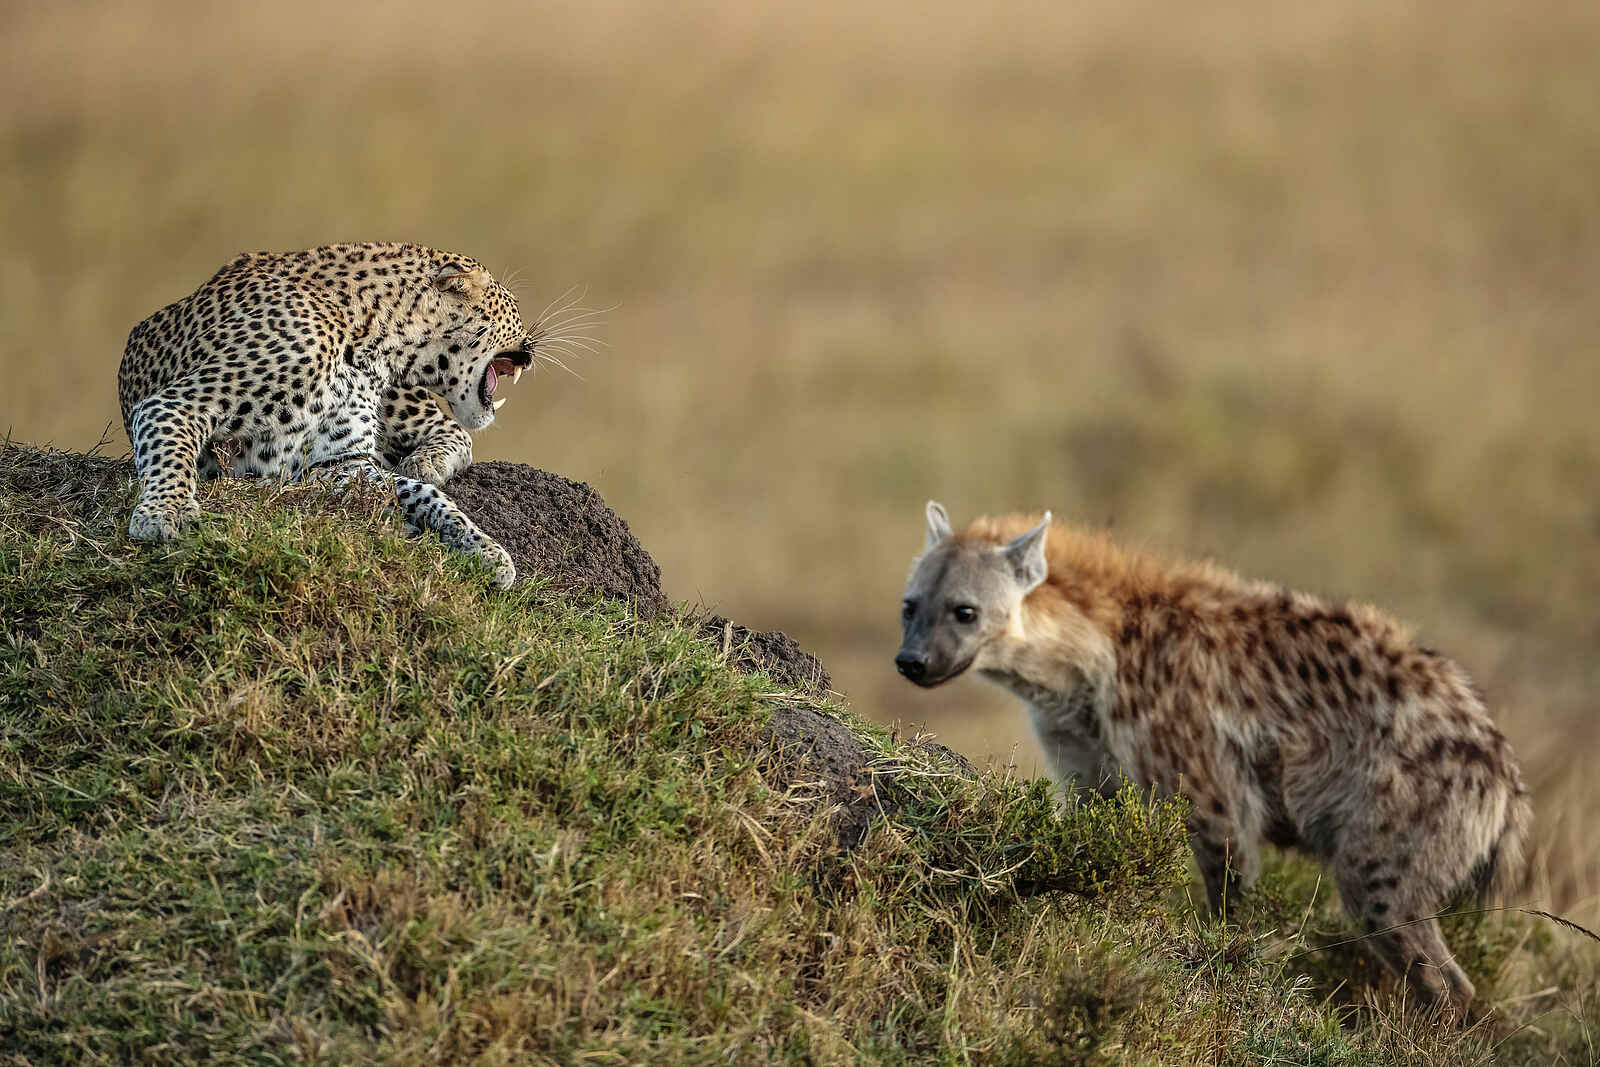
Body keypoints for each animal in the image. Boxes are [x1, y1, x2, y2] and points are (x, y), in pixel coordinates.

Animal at [117, 242, 553, 587]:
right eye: (513, 306)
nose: (532, 347)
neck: (373, 338)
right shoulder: (176, 405)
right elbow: (172, 456)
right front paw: (166, 513)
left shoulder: (338, 464)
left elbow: (421, 493)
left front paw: (484, 548)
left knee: (450, 431)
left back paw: (428, 461)